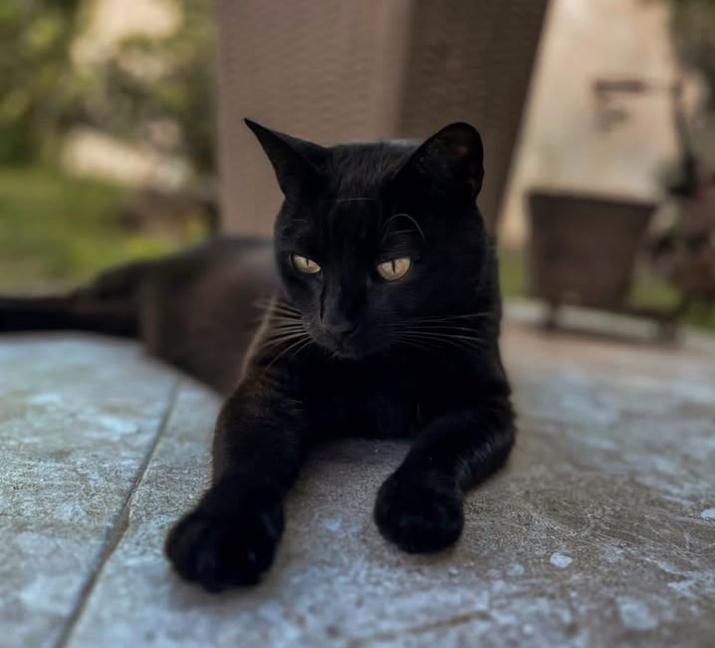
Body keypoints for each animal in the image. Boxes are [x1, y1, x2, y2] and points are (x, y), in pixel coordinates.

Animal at [0, 120, 515, 592]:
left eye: (394, 266)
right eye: (306, 263)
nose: (335, 323)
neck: (379, 371)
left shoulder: (488, 403)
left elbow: (441, 446)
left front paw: (417, 508)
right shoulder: (271, 380)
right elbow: (252, 456)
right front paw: (220, 534)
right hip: (119, 278)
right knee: (70, 300)